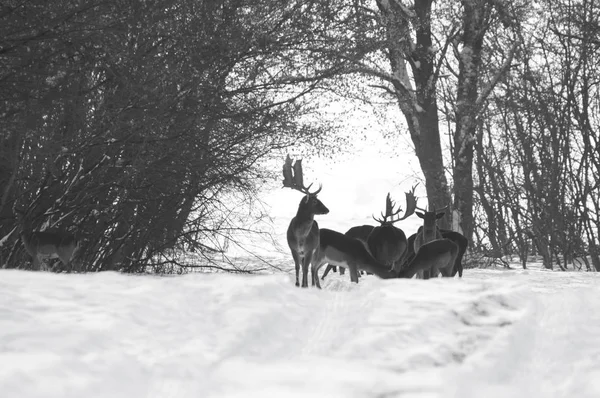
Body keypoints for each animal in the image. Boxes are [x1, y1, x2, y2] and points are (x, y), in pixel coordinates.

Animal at [284, 154, 330, 288]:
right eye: (314, 201)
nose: (327, 210)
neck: (300, 237)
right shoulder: (293, 248)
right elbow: (297, 267)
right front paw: (297, 284)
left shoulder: (309, 249)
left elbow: (305, 268)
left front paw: (305, 285)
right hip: (304, 253)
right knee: (307, 266)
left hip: (317, 248)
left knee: (312, 267)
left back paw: (313, 284)